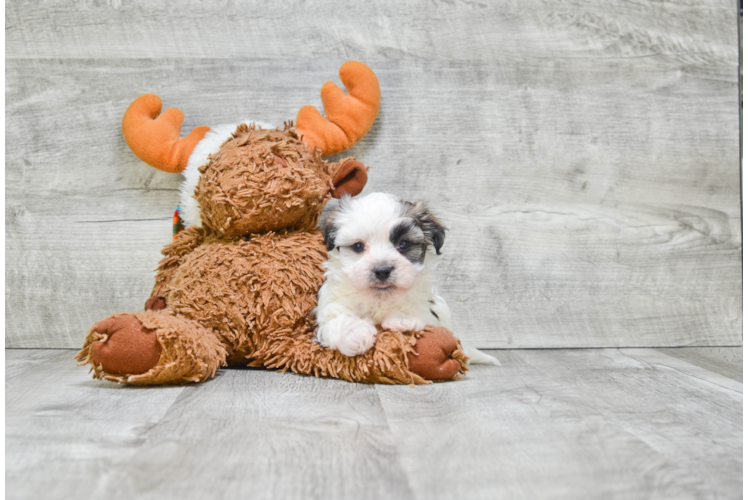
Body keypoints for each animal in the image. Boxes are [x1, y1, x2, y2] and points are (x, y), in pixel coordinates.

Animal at [314, 191, 496, 364]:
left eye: (403, 244)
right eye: (358, 246)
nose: (382, 270)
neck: (380, 300)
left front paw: (403, 317)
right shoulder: (332, 301)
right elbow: (337, 316)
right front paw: (354, 334)